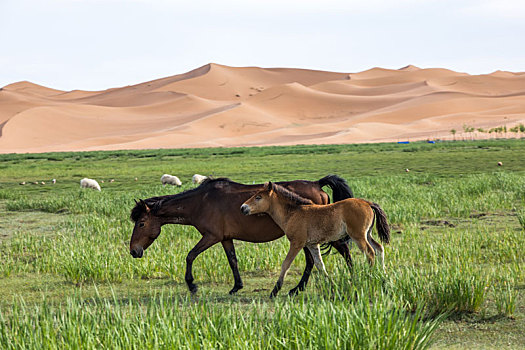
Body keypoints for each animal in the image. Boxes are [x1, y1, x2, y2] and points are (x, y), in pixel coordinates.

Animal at [129, 176, 354, 294]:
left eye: (141, 223)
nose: (133, 251)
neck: (201, 202)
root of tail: (317, 184)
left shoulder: (211, 237)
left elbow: (190, 255)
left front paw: (191, 284)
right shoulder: (225, 238)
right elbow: (233, 261)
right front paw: (236, 286)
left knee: (340, 250)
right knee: (314, 259)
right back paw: (299, 288)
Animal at [242, 180, 388, 298]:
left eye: (258, 197)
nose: (243, 208)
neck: (293, 213)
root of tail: (367, 203)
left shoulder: (297, 243)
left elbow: (286, 264)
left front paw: (274, 291)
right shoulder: (312, 244)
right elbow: (320, 265)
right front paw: (332, 286)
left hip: (358, 236)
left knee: (370, 253)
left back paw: (370, 277)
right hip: (367, 234)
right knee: (379, 248)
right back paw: (383, 277)